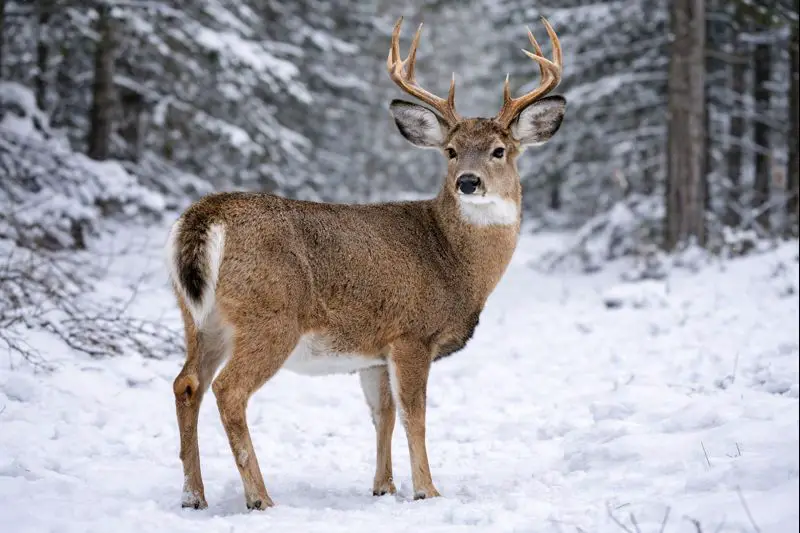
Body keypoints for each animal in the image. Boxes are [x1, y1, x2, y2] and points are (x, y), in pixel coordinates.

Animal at [166, 16, 565, 510]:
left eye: (499, 150)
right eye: (450, 151)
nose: (468, 182)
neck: (453, 259)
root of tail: (206, 214)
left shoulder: (376, 351)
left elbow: (383, 415)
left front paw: (384, 487)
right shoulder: (413, 333)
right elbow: (415, 415)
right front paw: (427, 490)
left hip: (198, 318)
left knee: (187, 384)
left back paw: (193, 495)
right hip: (270, 315)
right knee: (228, 390)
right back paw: (260, 497)